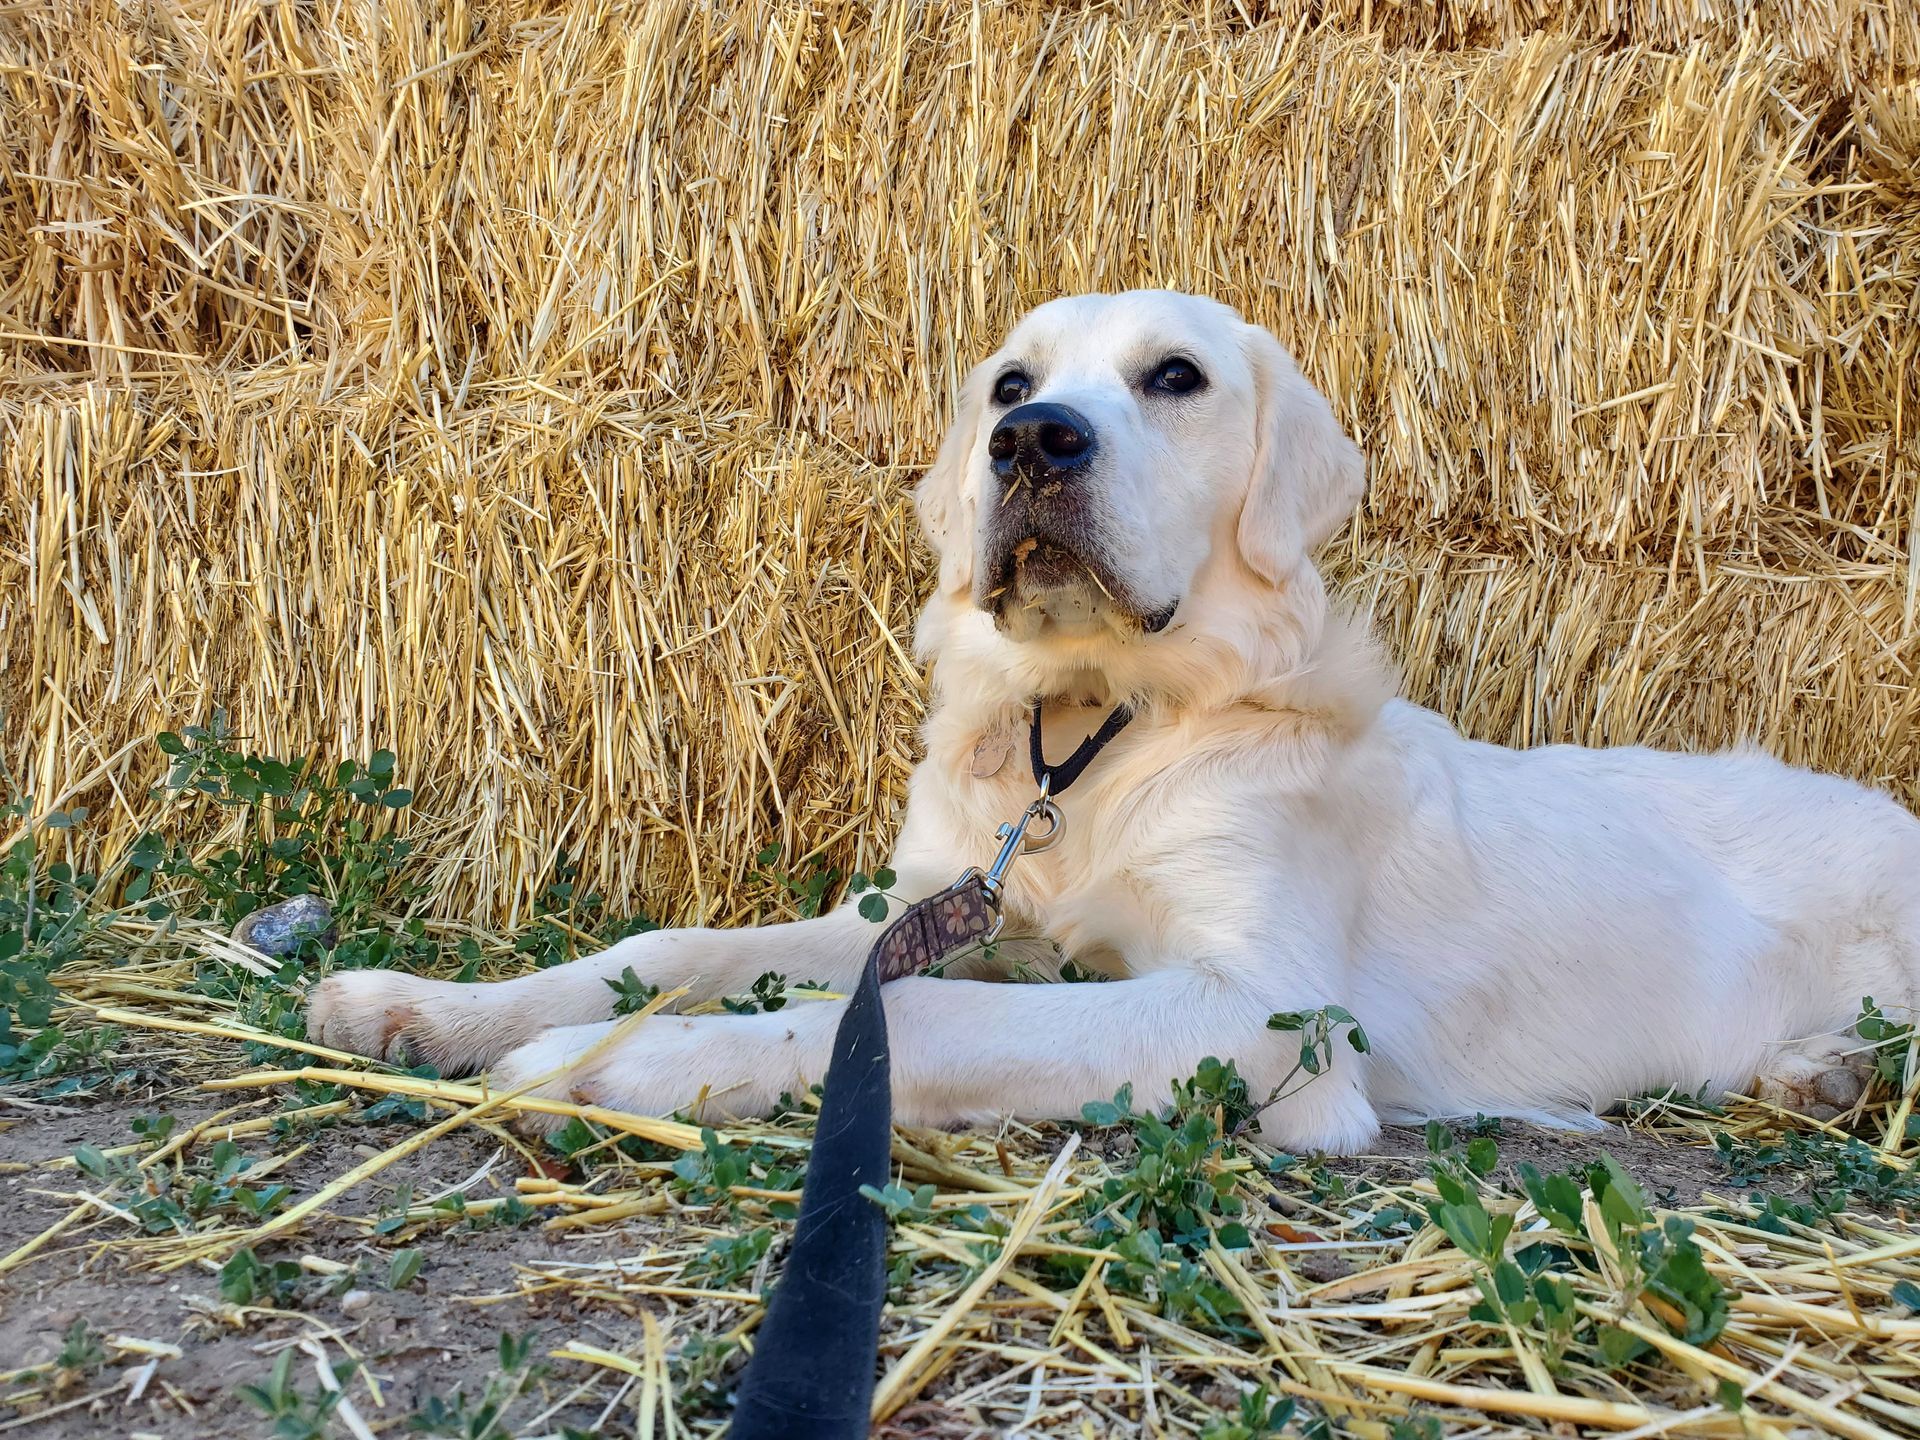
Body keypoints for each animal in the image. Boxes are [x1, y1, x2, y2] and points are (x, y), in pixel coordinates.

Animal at [303, 289, 1920, 1152]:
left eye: (1176, 377)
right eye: (1010, 383)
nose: (1034, 442)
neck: (1102, 728)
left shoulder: (1271, 1016)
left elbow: (917, 1019)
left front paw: (621, 1069)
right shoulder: (934, 901)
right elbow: (679, 946)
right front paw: (425, 1008)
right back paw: (1813, 1073)